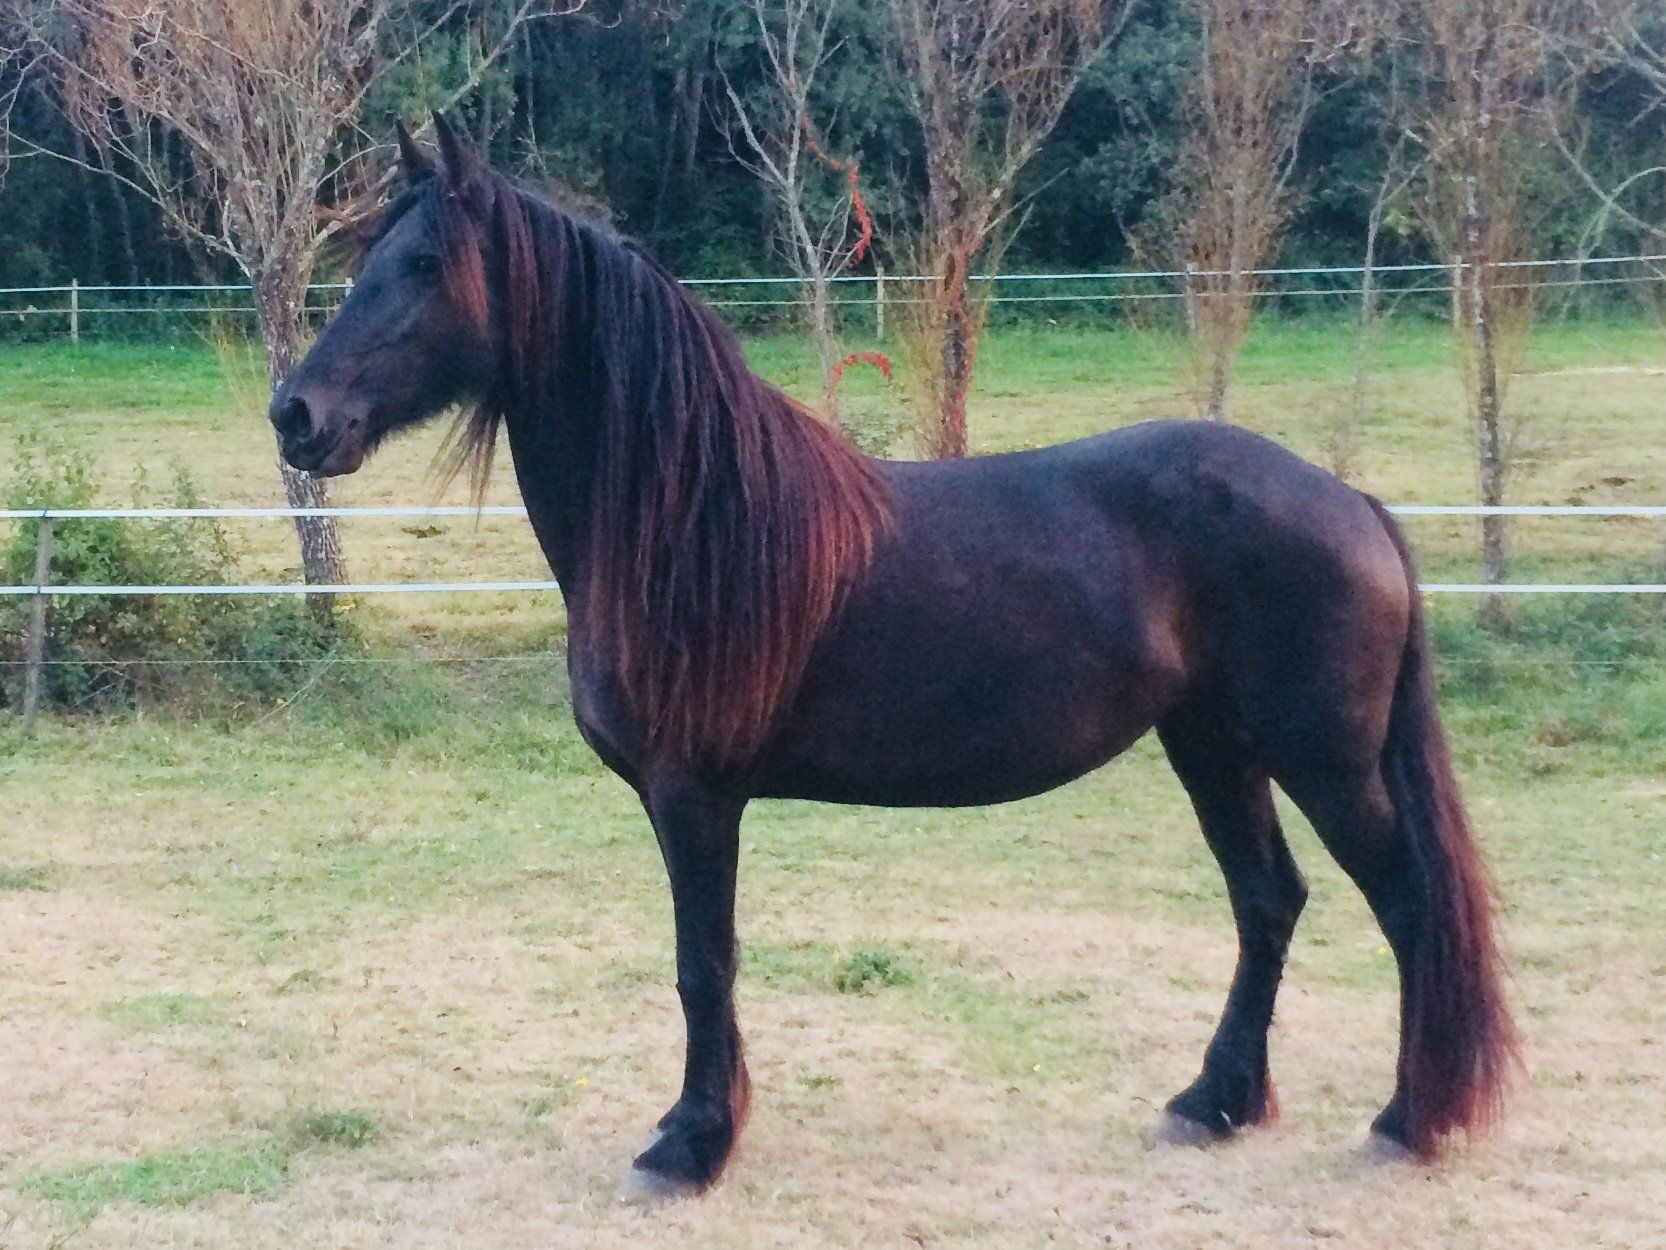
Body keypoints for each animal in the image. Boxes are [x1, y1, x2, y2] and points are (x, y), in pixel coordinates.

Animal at [269, 116, 1516, 1202]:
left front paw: (687, 1145)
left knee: (1407, 902)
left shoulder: (693, 794)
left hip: (1323, 761)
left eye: (425, 261)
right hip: (1212, 745)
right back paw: (1212, 1101)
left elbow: (701, 963)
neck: (691, 518)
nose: (296, 413)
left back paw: (1406, 1119)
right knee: (1268, 900)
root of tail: (1349, 500)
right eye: (367, 257)